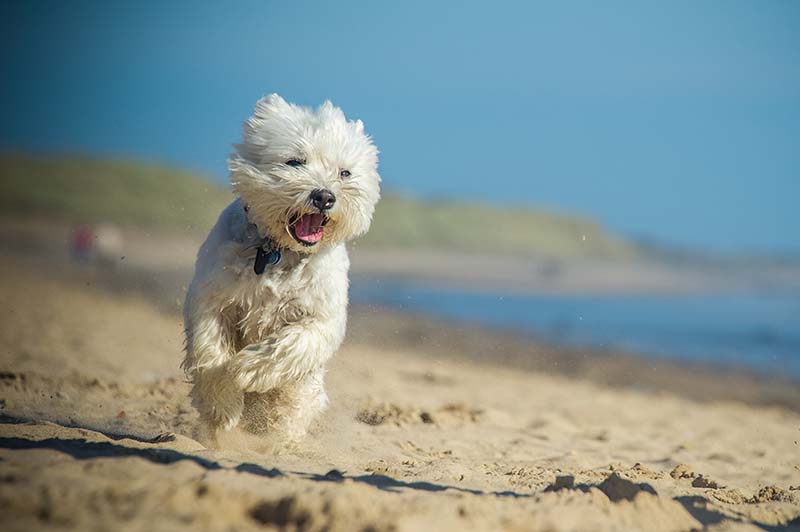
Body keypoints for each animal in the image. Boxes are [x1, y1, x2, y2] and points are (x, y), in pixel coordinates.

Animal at [182, 94, 382, 444]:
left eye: (345, 173)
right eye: (294, 161)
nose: (324, 196)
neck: (280, 252)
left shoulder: (321, 316)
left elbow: (293, 344)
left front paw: (247, 369)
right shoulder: (212, 299)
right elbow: (210, 350)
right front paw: (223, 406)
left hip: (306, 391)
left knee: (294, 405)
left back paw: (277, 440)